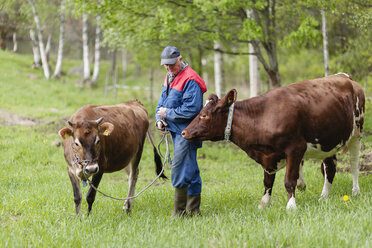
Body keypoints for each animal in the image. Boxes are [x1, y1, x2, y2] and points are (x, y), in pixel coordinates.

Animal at [182, 73, 364, 209]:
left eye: (204, 115)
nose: (184, 132)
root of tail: (344, 77)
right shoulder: (268, 156)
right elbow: (268, 182)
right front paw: (264, 204)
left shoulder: (295, 149)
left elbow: (289, 181)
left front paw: (291, 206)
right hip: (329, 140)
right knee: (330, 168)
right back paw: (324, 196)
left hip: (357, 132)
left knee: (354, 163)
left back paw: (355, 191)